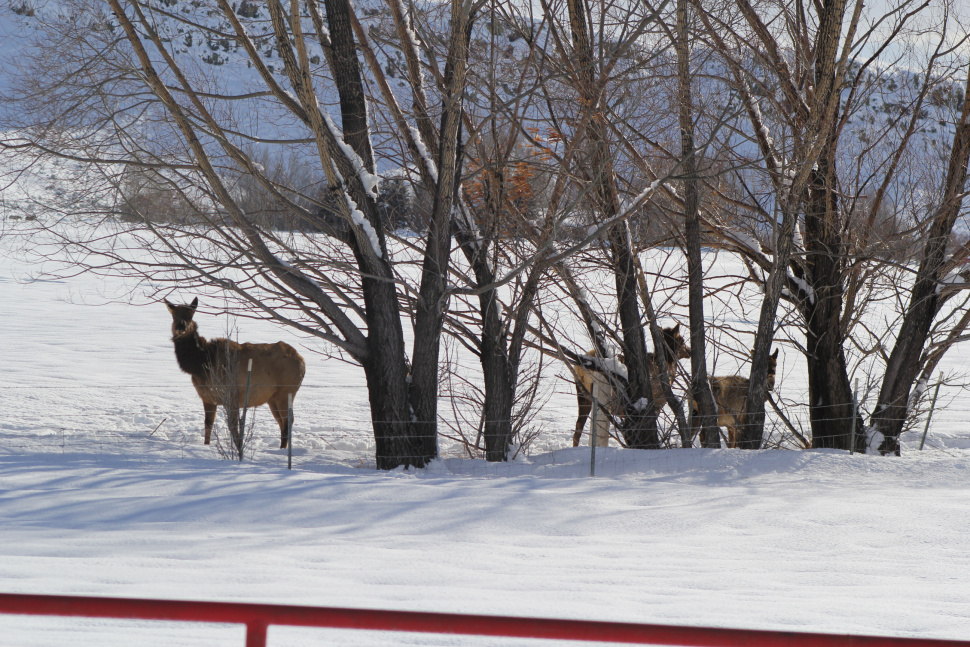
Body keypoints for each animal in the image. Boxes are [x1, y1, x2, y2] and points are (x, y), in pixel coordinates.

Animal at [163, 300, 304, 448]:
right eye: (174, 315)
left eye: (190, 315)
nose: (180, 326)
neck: (201, 364)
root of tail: (302, 361)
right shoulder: (207, 398)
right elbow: (208, 425)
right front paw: (206, 445)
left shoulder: (231, 395)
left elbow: (233, 427)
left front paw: (238, 447)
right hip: (272, 397)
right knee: (282, 421)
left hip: (286, 391)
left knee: (288, 420)